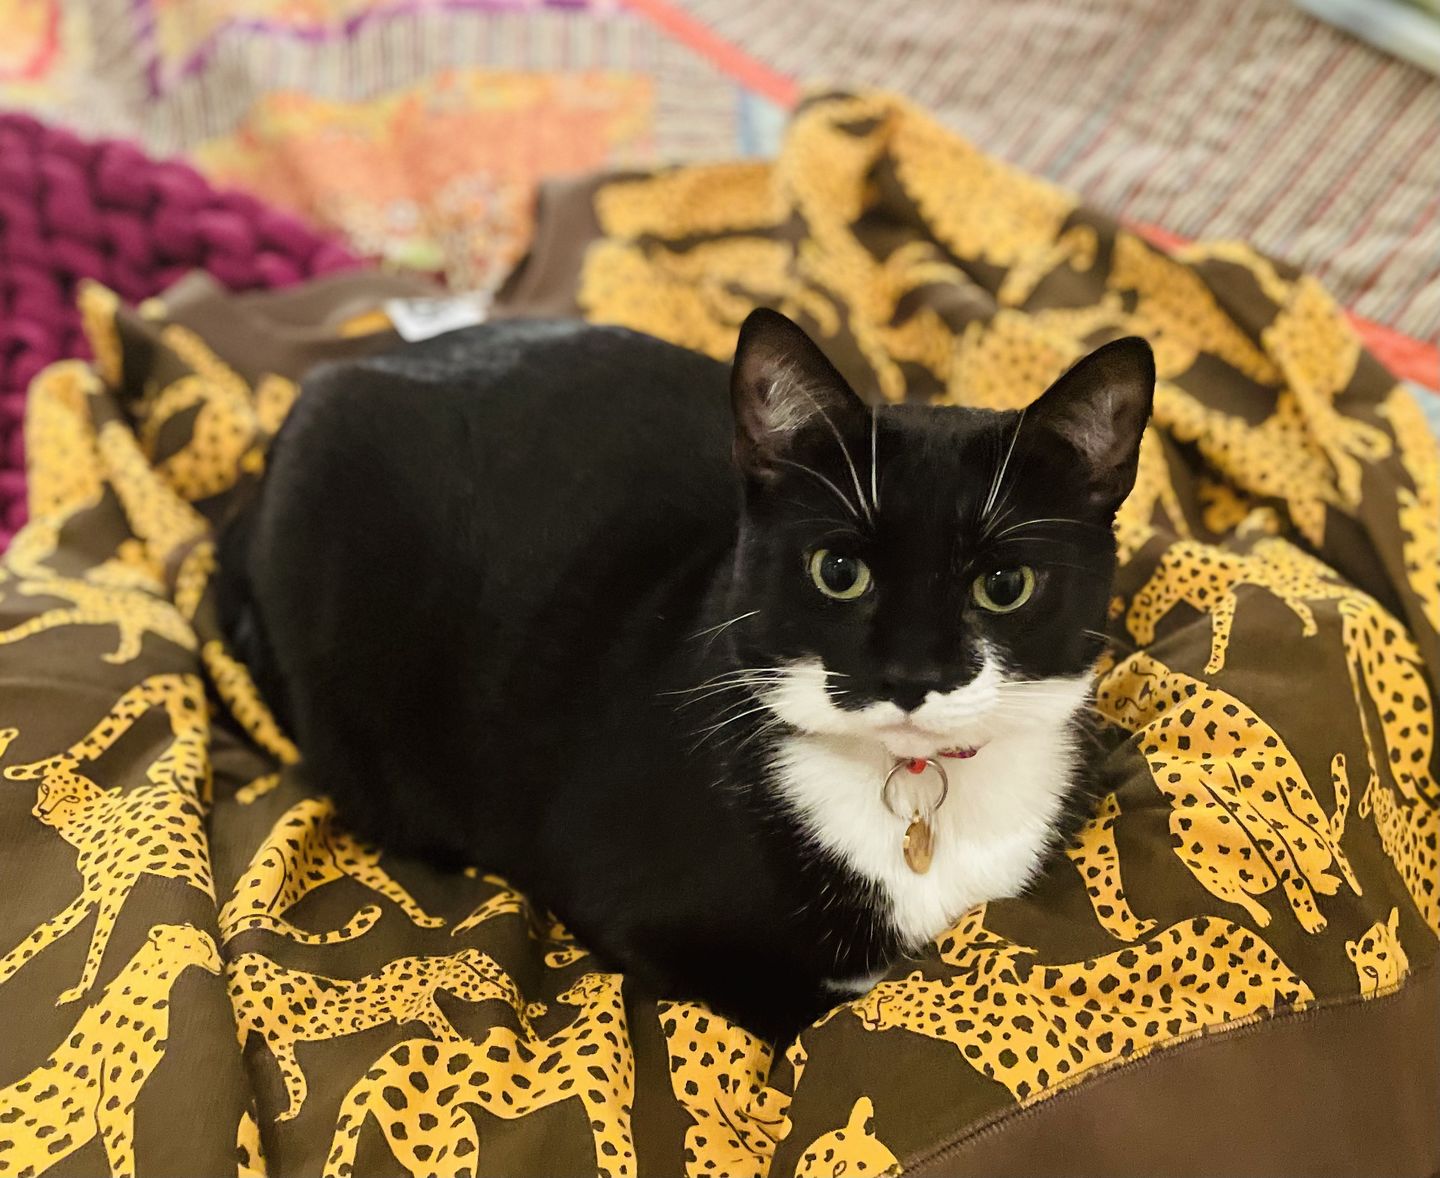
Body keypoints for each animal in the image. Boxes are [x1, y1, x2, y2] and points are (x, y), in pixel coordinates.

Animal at [0, 675, 213, 1004]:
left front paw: (78, 990)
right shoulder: (101, 891)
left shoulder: (112, 889)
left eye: (71, 798)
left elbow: (87, 936)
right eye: (46, 789)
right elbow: (52, 930)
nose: (42, 810)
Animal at [230, 947, 531, 1122]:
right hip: (441, 997)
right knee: (455, 1024)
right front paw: (291, 1110)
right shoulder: (281, 1045)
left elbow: (294, 1081)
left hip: (454, 990)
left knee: (495, 993)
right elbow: (296, 1082)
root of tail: (429, 958)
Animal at [324, 971, 634, 1178]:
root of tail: (373, 1074)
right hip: (455, 1136)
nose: (562, 996)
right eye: (579, 983)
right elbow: (618, 1159)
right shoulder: (603, 1112)